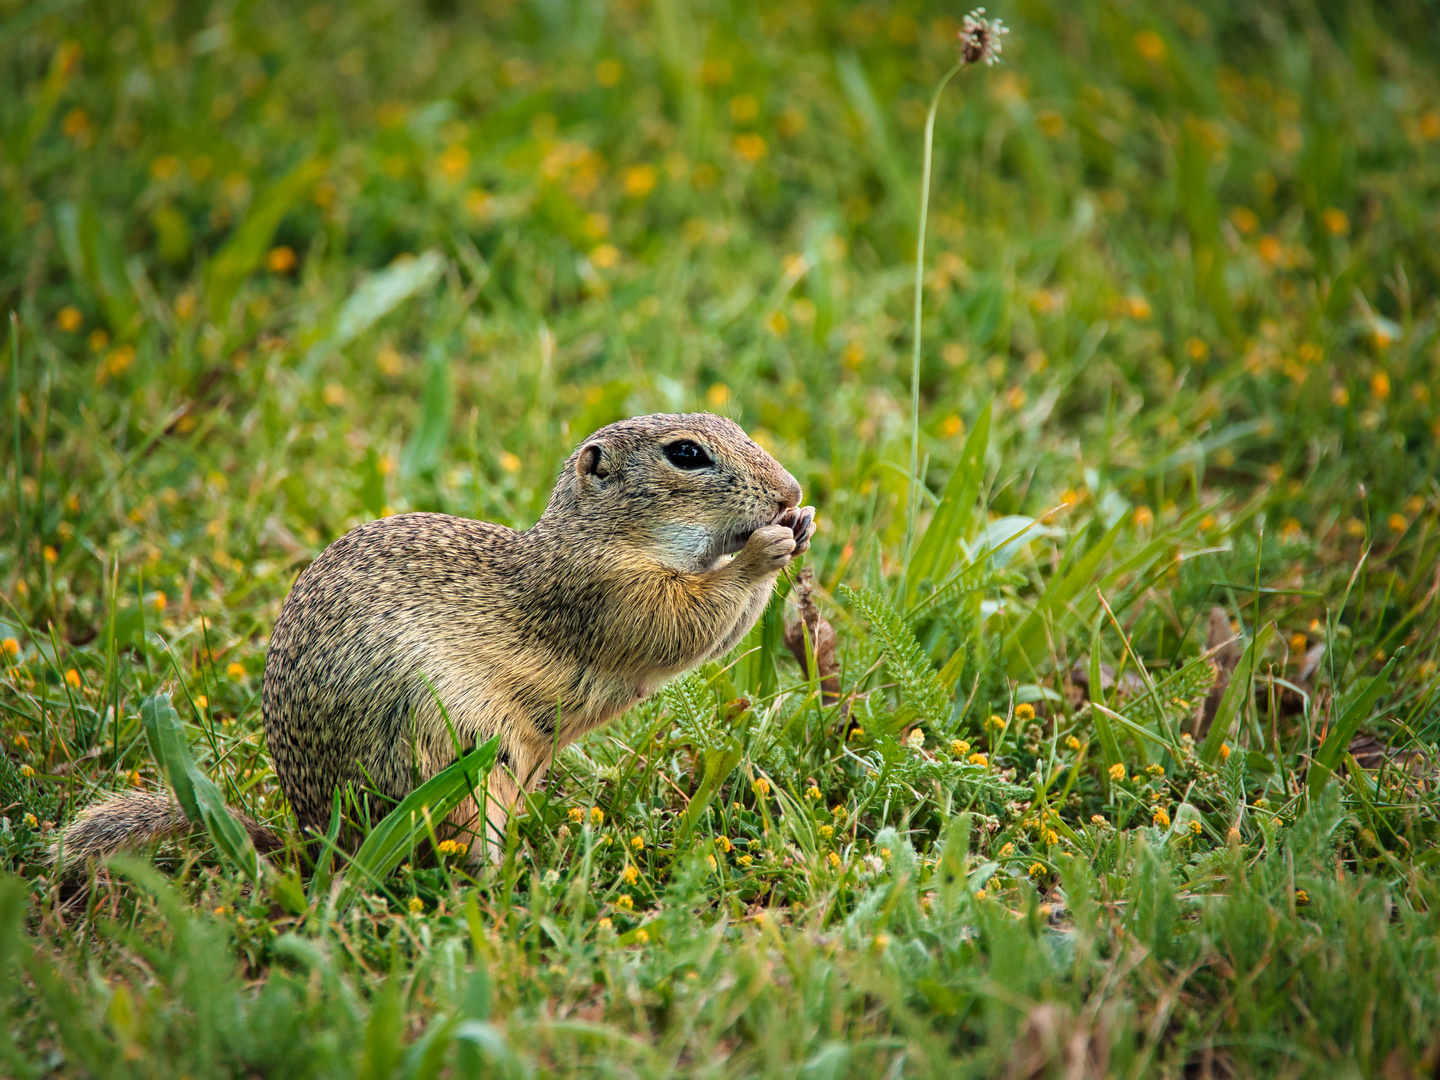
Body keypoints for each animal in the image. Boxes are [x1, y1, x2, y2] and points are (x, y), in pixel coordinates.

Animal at [56, 414, 817, 869]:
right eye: (686, 455)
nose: (791, 488)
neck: (595, 537)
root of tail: (320, 844)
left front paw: (803, 523)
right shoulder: (606, 595)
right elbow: (682, 623)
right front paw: (765, 550)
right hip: (462, 757)